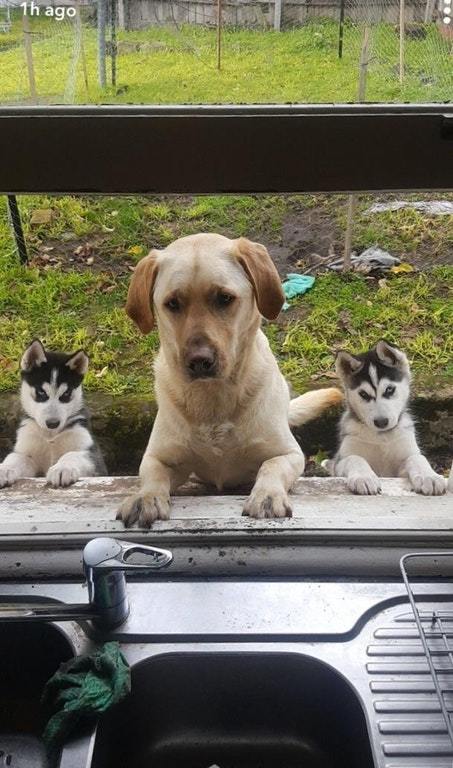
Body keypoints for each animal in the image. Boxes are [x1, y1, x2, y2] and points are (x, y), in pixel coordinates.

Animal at [0, 340, 106, 488]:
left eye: (66, 394)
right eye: (41, 392)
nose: (52, 423)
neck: (50, 436)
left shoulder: (92, 454)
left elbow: (72, 454)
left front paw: (62, 468)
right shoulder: (26, 451)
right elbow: (14, 458)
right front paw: (4, 469)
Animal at [324, 340, 444, 496]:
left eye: (389, 389)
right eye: (364, 394)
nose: (381, 422)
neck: (381, 438)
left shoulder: (402, 463)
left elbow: (417, 458)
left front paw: (429, 476)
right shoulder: (341, 460)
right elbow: (355, 458)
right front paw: (364, 478)